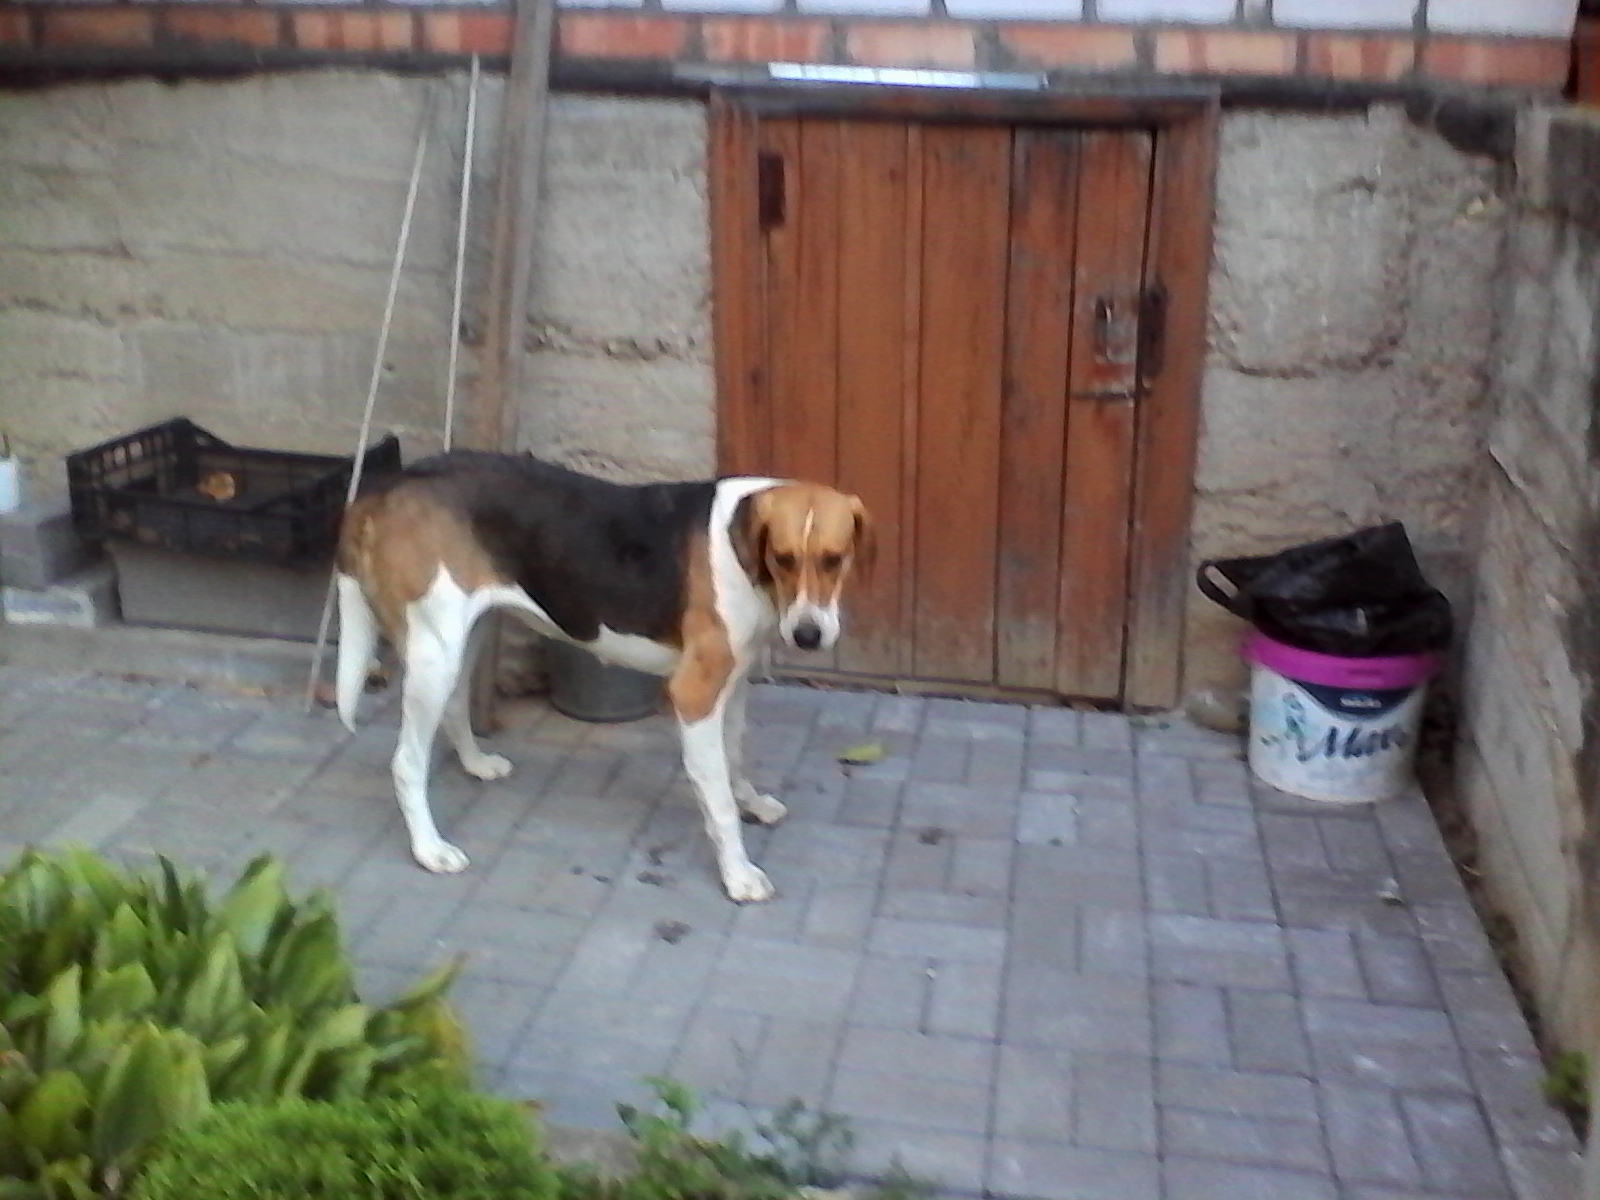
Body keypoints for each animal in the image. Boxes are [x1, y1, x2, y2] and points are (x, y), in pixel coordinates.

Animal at [333, 451, 873, 903]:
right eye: (783, 558)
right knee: (407, 762)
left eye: (835, 558)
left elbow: (735, 758)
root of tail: (391, 483)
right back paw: (429, 848)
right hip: (434, 650)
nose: (808, 635)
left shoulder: (734, 681)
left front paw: (751, 803)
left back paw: (476, 763)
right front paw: (738, 875)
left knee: (455, 708)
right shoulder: (695, 693)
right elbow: (716, 796)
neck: (742, 546)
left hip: (464, 638)